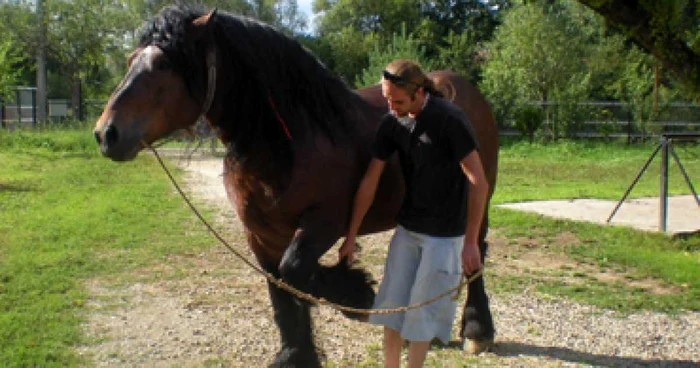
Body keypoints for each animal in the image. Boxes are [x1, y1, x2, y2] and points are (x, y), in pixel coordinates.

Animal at [91, 4, 498, 366]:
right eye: (130, 60)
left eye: (163, 64)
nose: (106, 133)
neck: (291, 140)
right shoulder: (260, 235)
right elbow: (281, 289)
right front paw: (296, 353)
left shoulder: (324, 223)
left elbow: (296, 272)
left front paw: (356, 292)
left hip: (479, 200)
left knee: (474, 253)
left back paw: (477, 331)